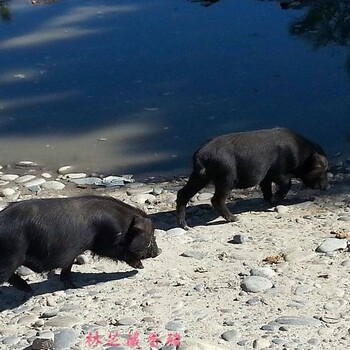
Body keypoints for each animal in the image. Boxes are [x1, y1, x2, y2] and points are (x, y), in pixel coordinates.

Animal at [0, 196, 159, 294]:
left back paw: (28, 290)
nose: (158, 252)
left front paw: (72, 286)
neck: (123, 224)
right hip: (10, 257)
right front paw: (140, 266)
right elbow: (117, 251)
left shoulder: (72, 253)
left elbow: (67, 268)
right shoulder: (106, 241)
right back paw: (28, 290)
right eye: (152, 234)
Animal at [176, 127, 330, 228]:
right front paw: (275, 199)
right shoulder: (279, 171)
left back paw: (184, 226)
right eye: (321, 170)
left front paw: (270, 201)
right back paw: (235, 218)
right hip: (226, 177)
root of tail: (200, 155)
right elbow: (287, 183)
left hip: (199, 177)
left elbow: (266, 187)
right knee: (216, 199)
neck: (301, 155)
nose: (327, 186)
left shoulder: (267, 175)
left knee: (182, 193)